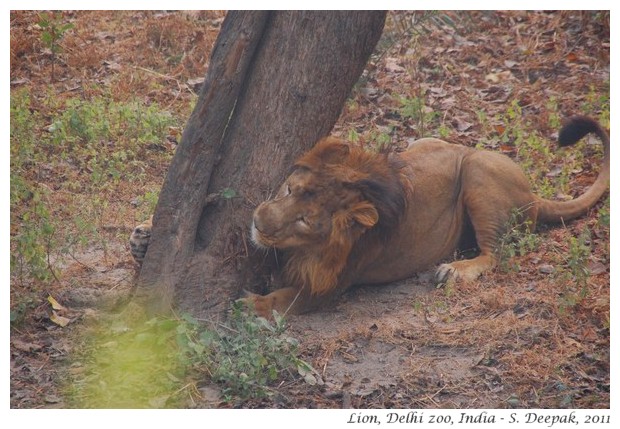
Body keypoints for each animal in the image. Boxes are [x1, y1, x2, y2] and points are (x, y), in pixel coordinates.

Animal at [132, 114, 612, 318]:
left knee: (495, 254)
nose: (259, 221)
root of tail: (535, 194)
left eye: (305, 221)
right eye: (289, 190)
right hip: (431, 141)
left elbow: (285, 299)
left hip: (477, 171)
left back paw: (455, 270)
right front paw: (143, 236)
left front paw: (250, 304)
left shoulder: (329, 287)